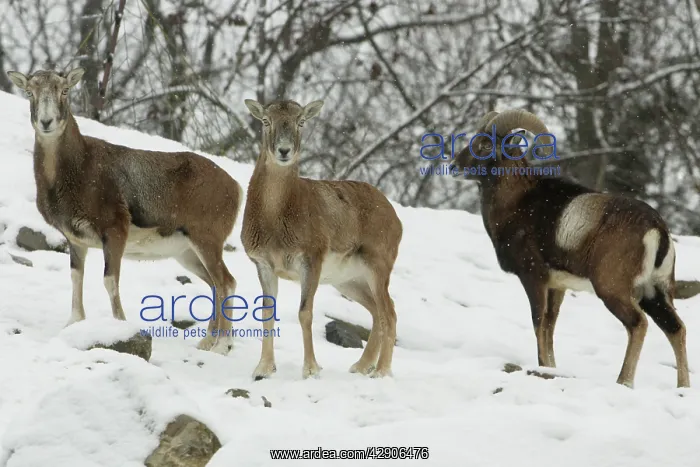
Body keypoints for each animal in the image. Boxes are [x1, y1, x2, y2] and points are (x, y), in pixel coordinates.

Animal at [7, 67, 243, 355]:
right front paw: (74, 323)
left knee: (225, 282)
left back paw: (222, 346)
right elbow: (76, 278)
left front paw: (120, 326)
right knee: (215, 285)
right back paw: (207, 342)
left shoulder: (114, 234)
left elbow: (110, 281)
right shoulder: (76, 242)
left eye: (64, 90)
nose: (46, 122)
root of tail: (236, 188)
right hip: (188, 254)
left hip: (206, 242)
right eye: (30, 92)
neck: (76, 171)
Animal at [241, 99, 403, 380]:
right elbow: (267, 313)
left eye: (301, 121)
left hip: (378, 269)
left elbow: (305, 313)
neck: (275, 218)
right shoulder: (265, 266)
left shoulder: (310, 263)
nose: (284, 151)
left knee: (389, 313)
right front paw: (263, 370)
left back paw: (380, 372)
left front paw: (311, 370)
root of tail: (396, 219)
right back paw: (361, 366)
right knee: (376, 312)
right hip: (349, 281)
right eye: (266, 121)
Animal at [450, 108, 689, 388]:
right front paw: (552, 368)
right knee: (676, 329)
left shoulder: (534, 279)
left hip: (613, 290)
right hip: (655, 292)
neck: (517, 203)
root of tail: (656, 229)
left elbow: (538, 323)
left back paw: (623, 381)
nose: (453, 167)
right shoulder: (557, 287)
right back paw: (682, 387)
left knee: (638, 324)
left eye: (487, 145)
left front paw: (543, 366)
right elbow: (550, 326)